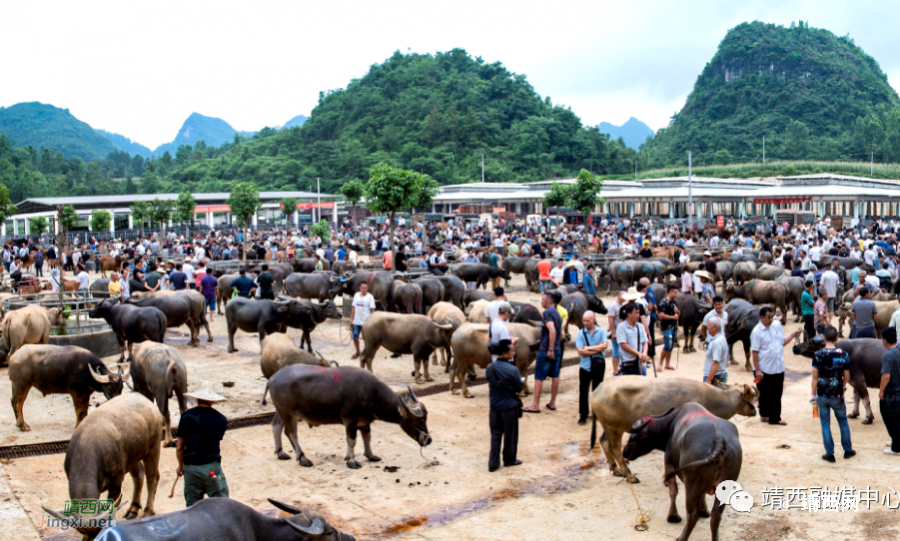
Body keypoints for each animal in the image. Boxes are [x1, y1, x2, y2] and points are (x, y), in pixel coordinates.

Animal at [42, 390, 163, 532]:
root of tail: (146, 401)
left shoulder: (116, 482)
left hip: (153, 447)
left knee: (152, 477)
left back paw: (148, 511)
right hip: (133, 456)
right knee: (139, 475)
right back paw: (133, 509)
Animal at [268, 362, 432, 468]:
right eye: (421, 420)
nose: (429, 440)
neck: (372, 394)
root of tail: (273, 378)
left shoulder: (365, 422)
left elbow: (367, 438)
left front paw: (371, 455)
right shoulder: (350, 421)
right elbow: (352, 441)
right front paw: (351, 460)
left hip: (281, 412)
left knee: (276, 426)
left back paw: (280, 452)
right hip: (287, 413)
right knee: (291, 433)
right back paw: (303, 458)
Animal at [588, 374, 756, 484]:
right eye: (751, 398)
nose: (754, 411)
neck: (715, 400)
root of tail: (597, 390)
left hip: (609, 426)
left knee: (604, 441)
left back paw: (616, 469)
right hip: (614, 428)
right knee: (615, 448)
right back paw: (630, 476)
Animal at [624, 400, 740, 540]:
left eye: (633, 438)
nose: (624, 452)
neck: (670, 426)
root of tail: (718, 438)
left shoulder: (668, 463)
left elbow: (673, 490)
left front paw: (673, 516)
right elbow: (702, 496)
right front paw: (704, 510)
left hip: (692, 482)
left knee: (693, 514)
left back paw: (682, 537)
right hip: (726, 485)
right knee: (716, 515)